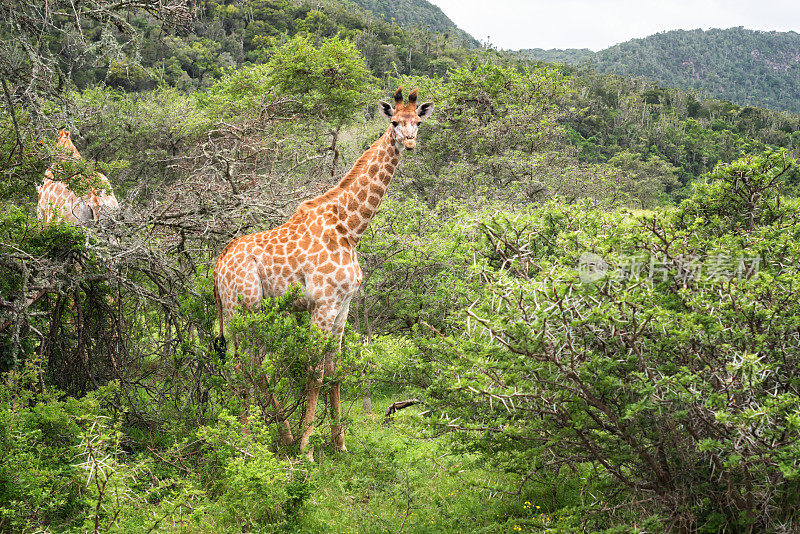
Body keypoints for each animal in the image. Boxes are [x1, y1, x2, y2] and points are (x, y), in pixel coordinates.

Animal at [212, 89, 434, 460]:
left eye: (418, 121)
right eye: (394, 122)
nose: (410, 142)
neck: (351, 228)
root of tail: (217, 266)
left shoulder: (343, 307)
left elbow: (335, 370)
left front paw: (339, 443)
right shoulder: (323, 303)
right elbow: (314, 371)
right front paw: (307, 450)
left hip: (254, 311)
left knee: (257, 366)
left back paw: (280, 434)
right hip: (242, 309)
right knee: (243, 367)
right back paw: (245, 443)